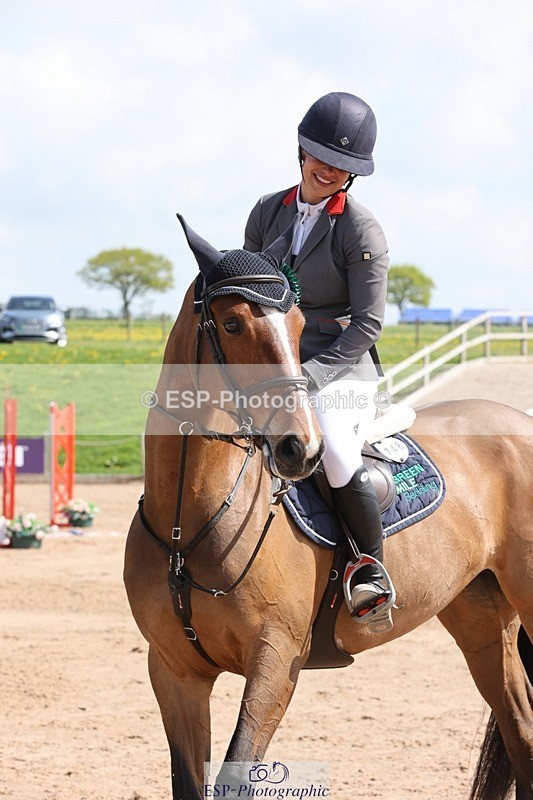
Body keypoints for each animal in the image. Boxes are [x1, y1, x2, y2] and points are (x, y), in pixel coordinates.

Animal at [124, 218, 533, 800]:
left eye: (297, 323)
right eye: (231, 323)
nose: (302, 449)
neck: (189, 526)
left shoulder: (276, 661)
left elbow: (236, 772)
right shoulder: (173, 671)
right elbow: (189, 779)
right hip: (480, 620)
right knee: (520, 731)